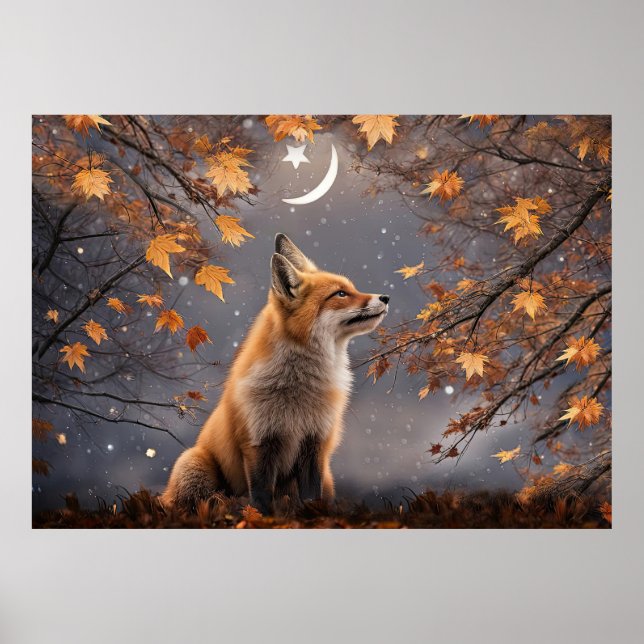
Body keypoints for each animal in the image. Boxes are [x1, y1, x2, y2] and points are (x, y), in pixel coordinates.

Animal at [161, 233, 389, 514]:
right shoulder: (258, 444)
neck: (298, 394)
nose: (385, 297)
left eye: (351, 289)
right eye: (340, 294)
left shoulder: (315, 445)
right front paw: (260, 519)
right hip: (194, 464)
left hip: (328, 478)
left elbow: (310, 498)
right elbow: (261, 499)